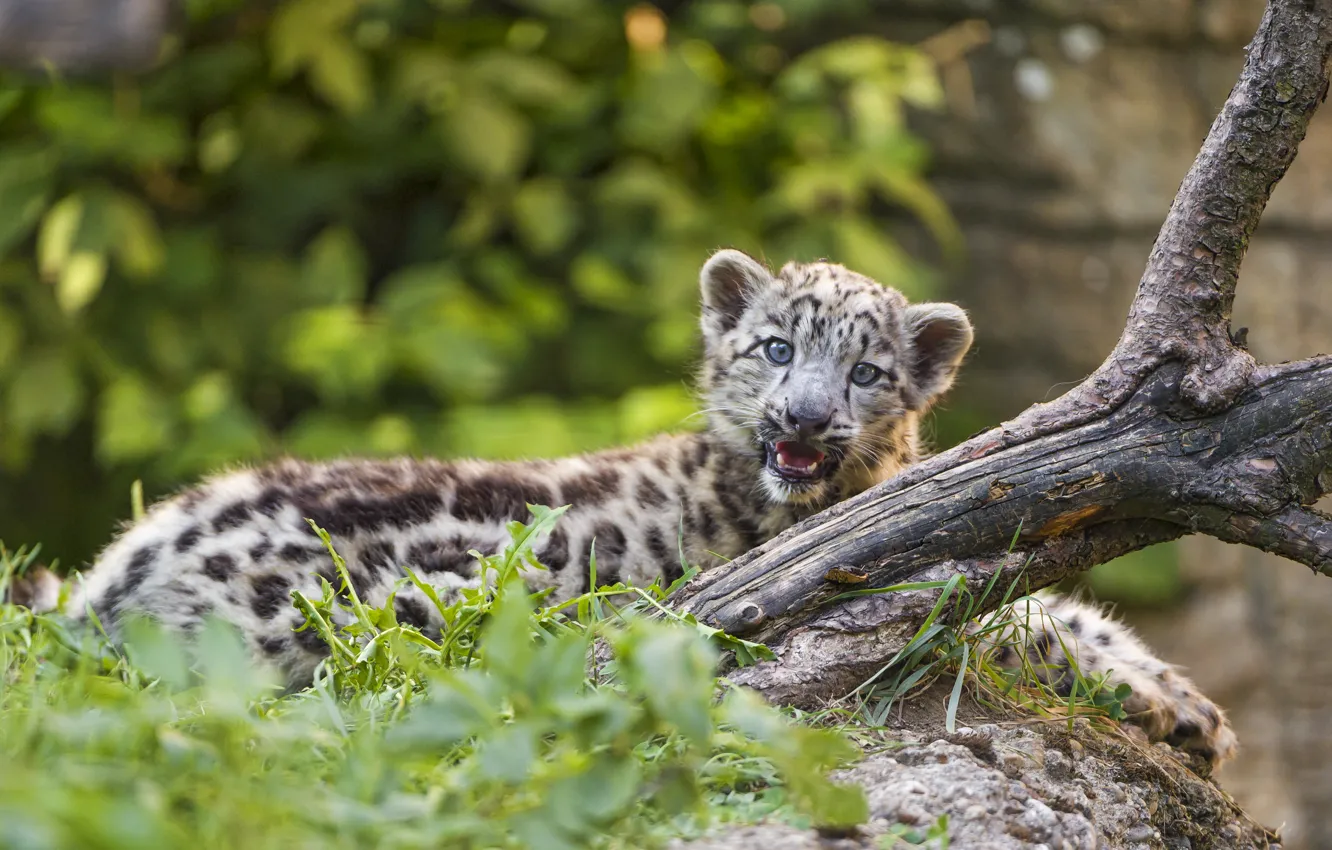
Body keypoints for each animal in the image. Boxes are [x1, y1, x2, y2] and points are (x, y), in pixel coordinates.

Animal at [9, 248, 1236, 768]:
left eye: (867, 372)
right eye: (775, 346)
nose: (804, 416)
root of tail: (125, 569)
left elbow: (1054, 604)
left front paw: (1187, 704)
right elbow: (1016, 618)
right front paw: (1172, 703)